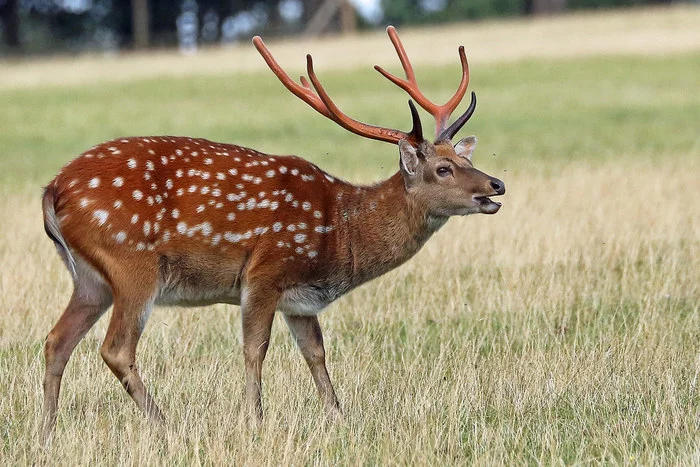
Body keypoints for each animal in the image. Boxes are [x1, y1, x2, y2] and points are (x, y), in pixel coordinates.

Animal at [41, 25, 506, 442]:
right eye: (443, 169)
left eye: (464, 159)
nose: (496, 185)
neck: (339, 233)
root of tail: (53, 188)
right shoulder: (265, 271)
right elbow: (255, 348)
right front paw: (256, 423)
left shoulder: (301, 301)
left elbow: (316, 353)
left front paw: (339, 420)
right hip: (132, 264)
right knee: (116, 348)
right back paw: (168, 427)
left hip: (91, 279)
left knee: (56, 340)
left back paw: (47, 434)